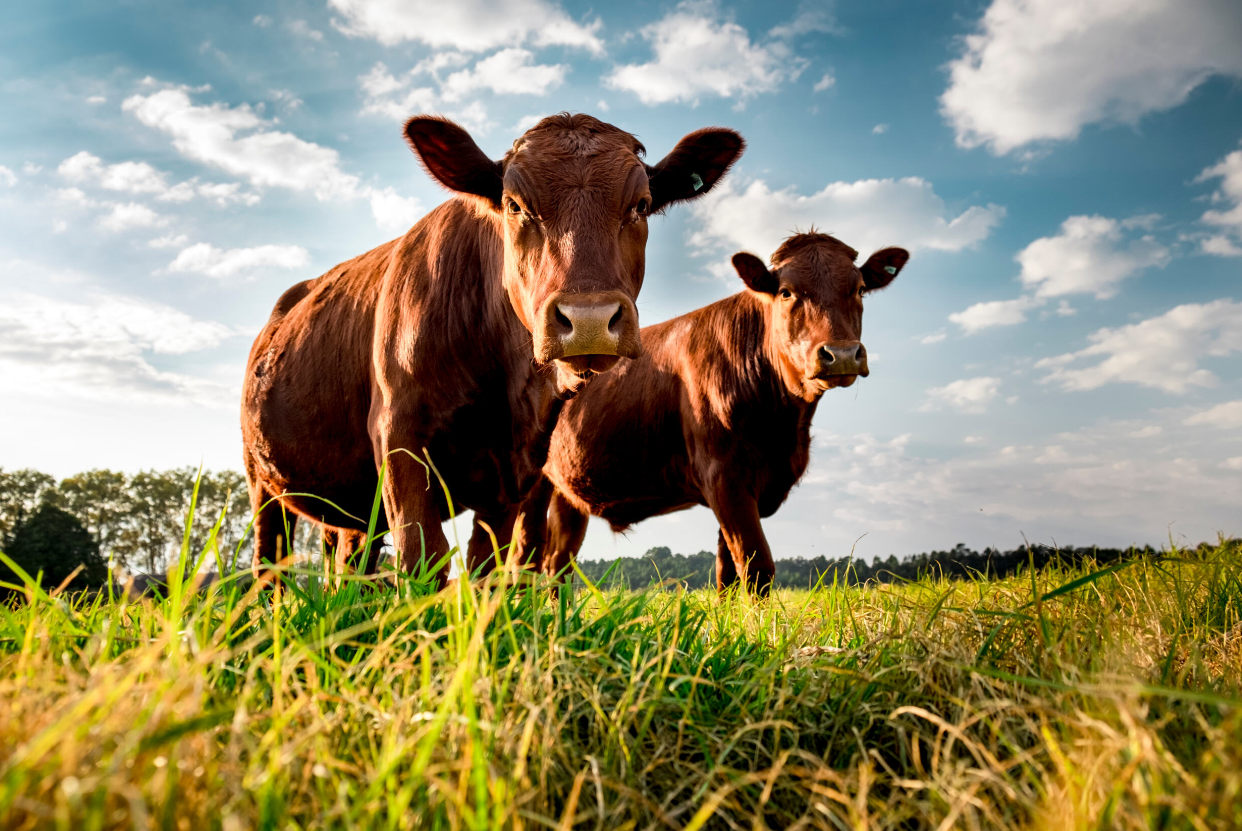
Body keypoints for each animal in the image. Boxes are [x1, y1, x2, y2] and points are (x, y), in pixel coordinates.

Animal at [241, 113, 745, 588]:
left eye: (640, 205)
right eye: (514, 205)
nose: (588, 320)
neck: (501, 380)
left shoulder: (516, 469)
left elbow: (487, 568)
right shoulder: (397, 432)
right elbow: (422, 555)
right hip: (262, 480)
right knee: (270, 563)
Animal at [511, 232, 908, 596]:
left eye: (859, 289)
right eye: (786, 292)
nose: (841, 354)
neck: (784, 427)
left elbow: (727, 574)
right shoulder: (724, 474)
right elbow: (757, 566)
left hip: (568, 491)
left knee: (558, 563)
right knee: (524, 559)